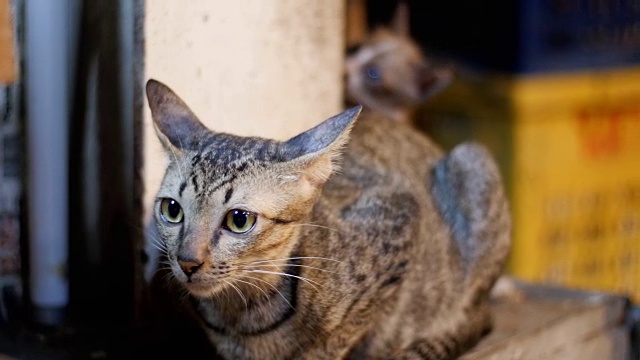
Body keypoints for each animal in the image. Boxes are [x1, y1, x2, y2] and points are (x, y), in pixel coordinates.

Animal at [144, 79, 510, 360]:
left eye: (239, 219)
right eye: (172, 210)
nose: (187, 261)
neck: (242, 315)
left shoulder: (400, 214)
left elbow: (337, 338)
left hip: (472, 161)